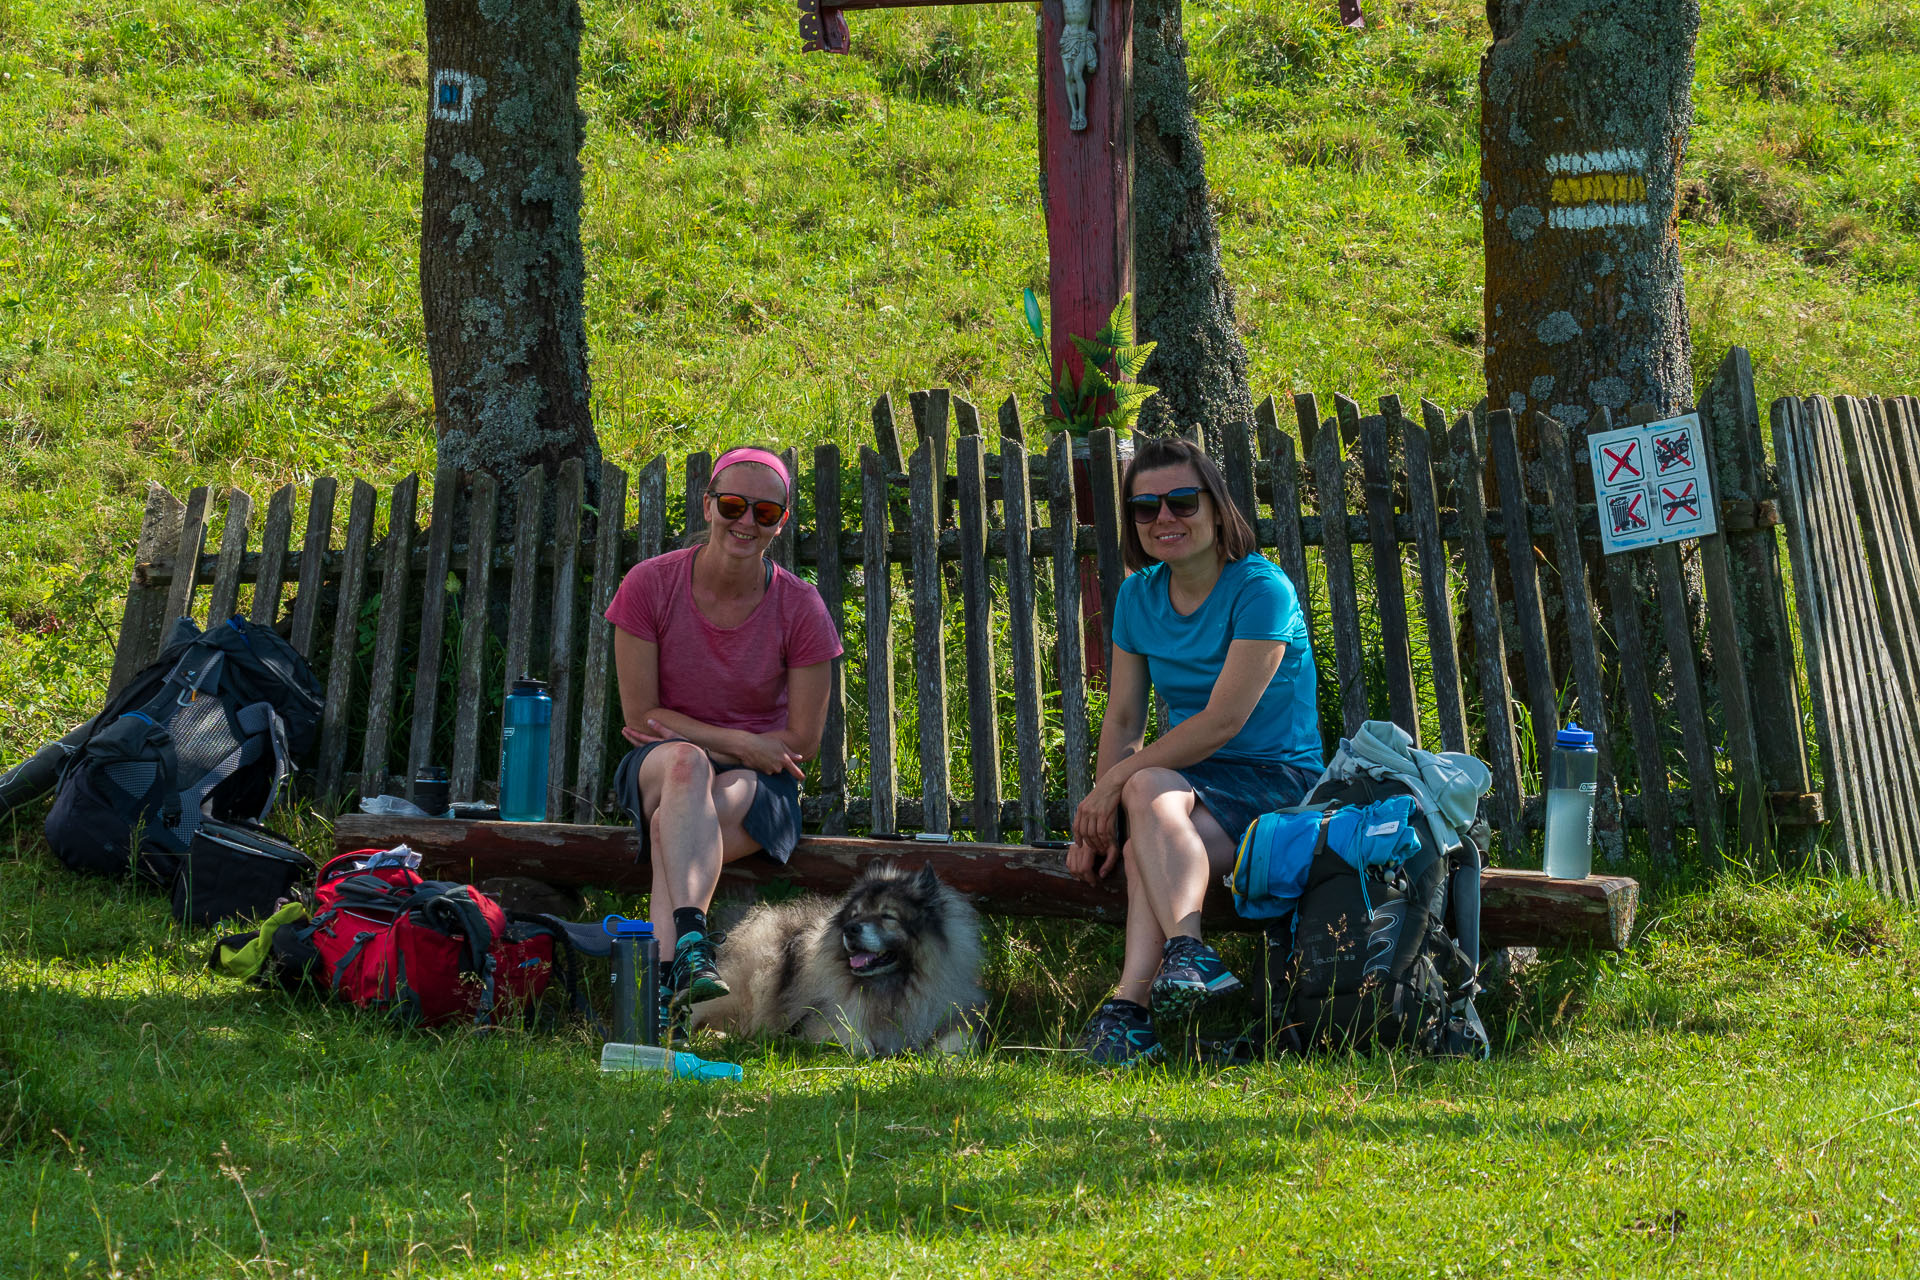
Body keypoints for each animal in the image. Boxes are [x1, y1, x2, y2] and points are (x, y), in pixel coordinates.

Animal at [687, 867, 983, 1059]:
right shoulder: (822, 1020)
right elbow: (857, 1041)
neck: (891, 987)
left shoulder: (949, 1018)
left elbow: (960, 1041)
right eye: (855, 914)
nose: (850, 929)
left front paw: (947, 1059)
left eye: (888, 916)